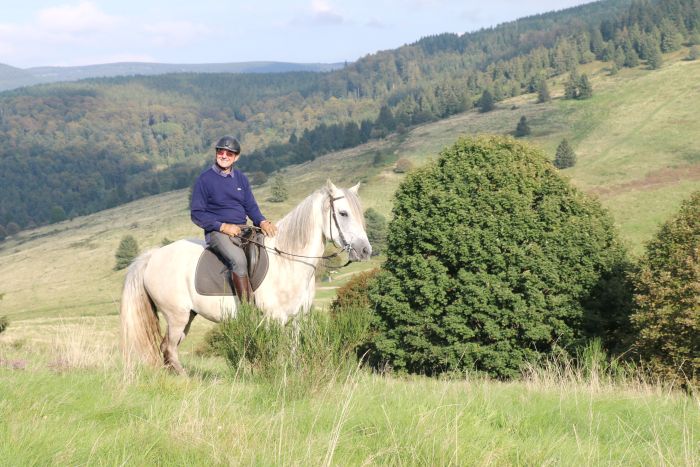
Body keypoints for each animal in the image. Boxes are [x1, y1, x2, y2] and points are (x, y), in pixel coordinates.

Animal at [120, 181, 372, 374]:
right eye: (343, 213)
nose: (365, 251)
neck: (288, 261)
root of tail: (152, 257)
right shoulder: (274, 319)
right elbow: (275, 352)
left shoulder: (298, 319)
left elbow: (292, 351)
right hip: (176, 316)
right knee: (169, 348)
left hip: (187, 317)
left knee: (167, 348)